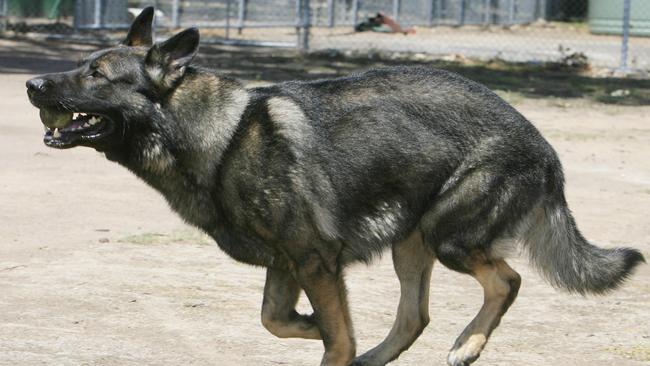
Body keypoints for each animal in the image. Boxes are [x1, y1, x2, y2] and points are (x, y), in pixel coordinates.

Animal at [25, 6, 644, 366]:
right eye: (83, 65)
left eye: (96, 75)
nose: (31, 84)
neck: (220, 135)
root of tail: (543, 145)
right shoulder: (288, 263)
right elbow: (275, 320)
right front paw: (309, 326)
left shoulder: (314, 261)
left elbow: (333, 337)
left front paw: (328, 341)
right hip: (410, 242)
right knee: (415, 316)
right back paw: (379, 357)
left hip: (447, 237)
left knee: (507, 281)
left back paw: (466, 346)